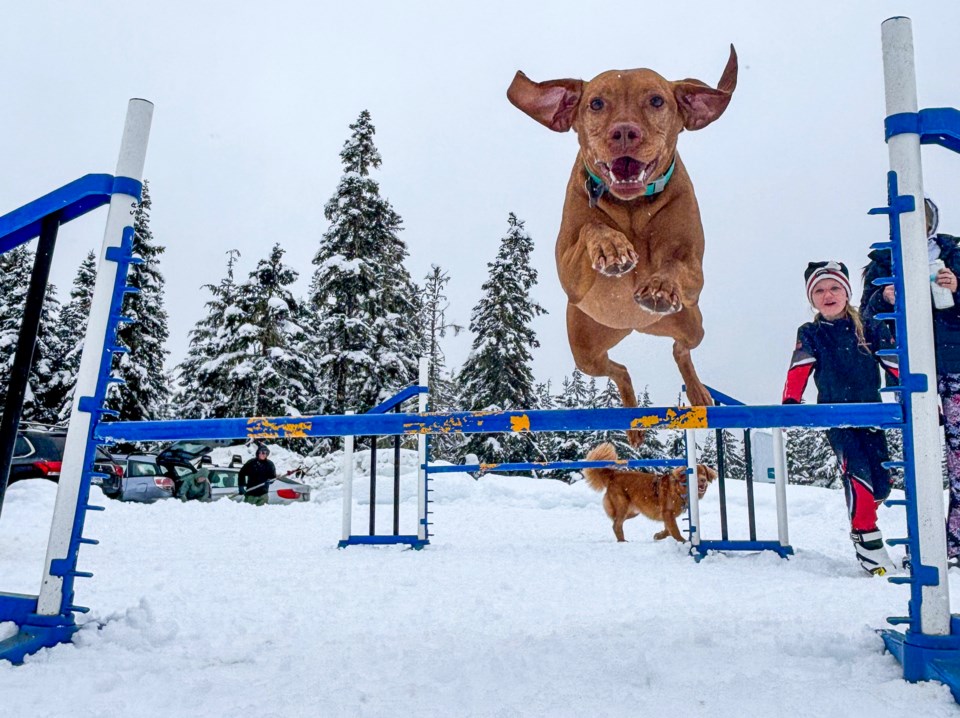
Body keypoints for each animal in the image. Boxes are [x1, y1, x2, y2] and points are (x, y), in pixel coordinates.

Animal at [510, 49, 736, 444]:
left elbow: (674, 264)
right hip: (585, 350)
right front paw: (612, 249)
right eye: (597, 103)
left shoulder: (694, 272)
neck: (632, 208)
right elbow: (592, 227)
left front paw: (659, 286)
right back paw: (631, 420)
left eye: (657, 100)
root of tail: (635, 328)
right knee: (621, 371)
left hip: (690, 322)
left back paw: (696, 393)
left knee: (681, 348)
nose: (625, 131)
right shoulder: (569, 273)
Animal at [580, 442, 716, 544]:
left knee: (615, 522)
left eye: (704, 473)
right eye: (696, 474)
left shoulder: (667, 515)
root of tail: (614, 475)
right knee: (616, 525)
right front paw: (683, 541)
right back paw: (622, 541)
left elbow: (668, 530)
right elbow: (675, 530)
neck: (679, 490)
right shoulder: (667, 512)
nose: (703, 480)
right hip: (623, 506)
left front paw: (659, 535)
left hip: (632, 512)